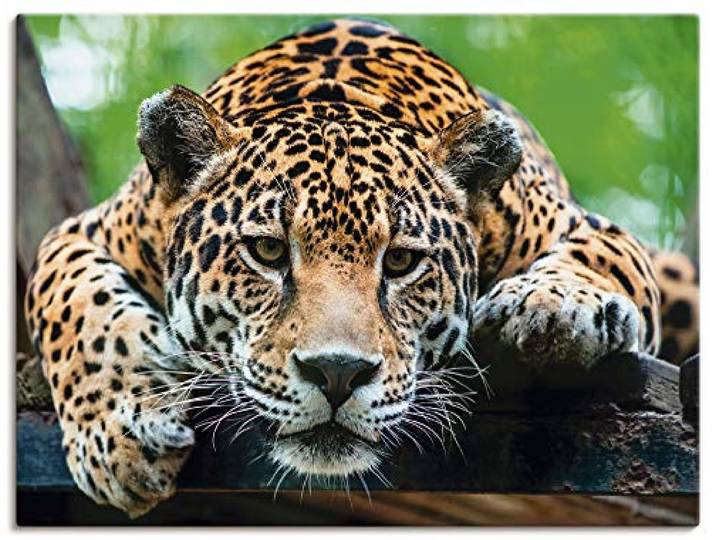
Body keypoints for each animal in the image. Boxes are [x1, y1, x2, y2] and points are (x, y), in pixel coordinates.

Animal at [24, 18, 699, 517]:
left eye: (400, 261)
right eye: (268, 252)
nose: (337, 373)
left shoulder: (586, 226)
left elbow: (601, 257)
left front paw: (553, 305)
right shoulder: (83, 231)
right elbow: (75, 307)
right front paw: (119, 437)